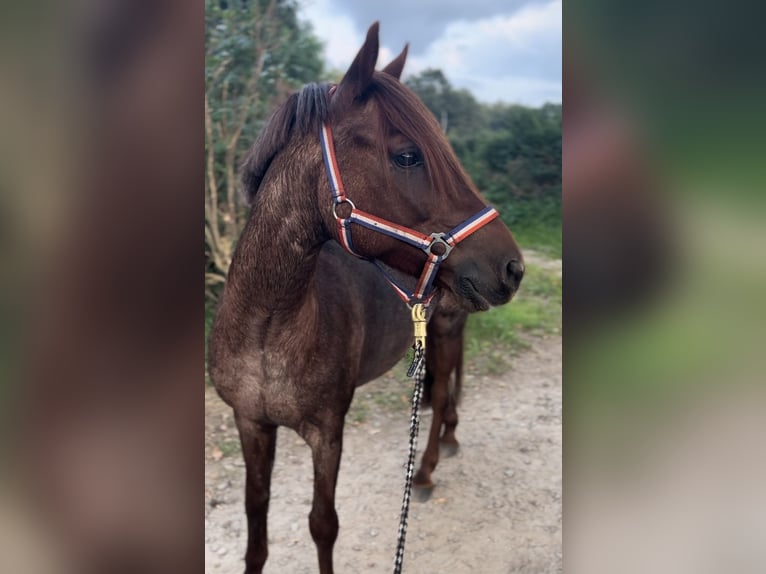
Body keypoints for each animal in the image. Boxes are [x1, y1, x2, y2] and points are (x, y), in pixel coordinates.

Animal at [207, 22, 524, 574]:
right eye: (407, 155)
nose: (512, 267)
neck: (269, 330)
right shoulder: (250, 424)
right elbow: (256, 522)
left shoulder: (327, 430)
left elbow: (323, 524)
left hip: (446, 330)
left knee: (440, 397)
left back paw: (426, 471)